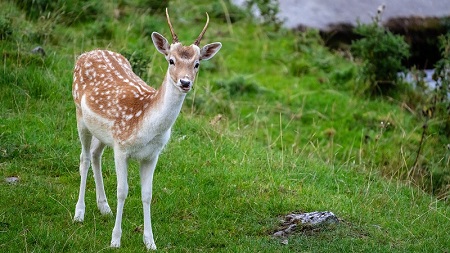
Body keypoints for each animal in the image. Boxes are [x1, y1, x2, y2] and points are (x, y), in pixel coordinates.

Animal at [71, 8, 222, 250]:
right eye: (171, 60)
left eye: (197, 63)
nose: (185, 82)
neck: (146, 125)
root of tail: (87, 53)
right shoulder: (121, 148)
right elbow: (122, 191)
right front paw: (115, 240)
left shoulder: (152, 154)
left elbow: (147, 194)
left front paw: (150, 242)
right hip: (80, 115)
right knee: (84, 158)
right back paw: (79, 213)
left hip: (102, 133)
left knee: (95, 154)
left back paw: (104, 207)